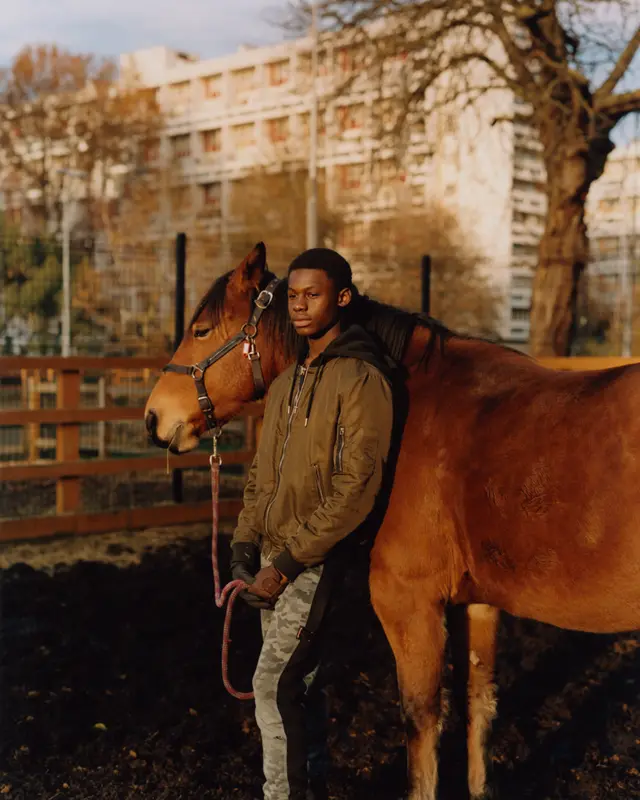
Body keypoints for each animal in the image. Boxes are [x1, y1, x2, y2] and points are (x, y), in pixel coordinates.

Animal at [144, 243, 640, 800]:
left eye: (202, 329)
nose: (154, 417)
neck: (410, 404)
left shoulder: (408, 601)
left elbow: (420, 720)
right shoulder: (478, 603)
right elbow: (478, 706)